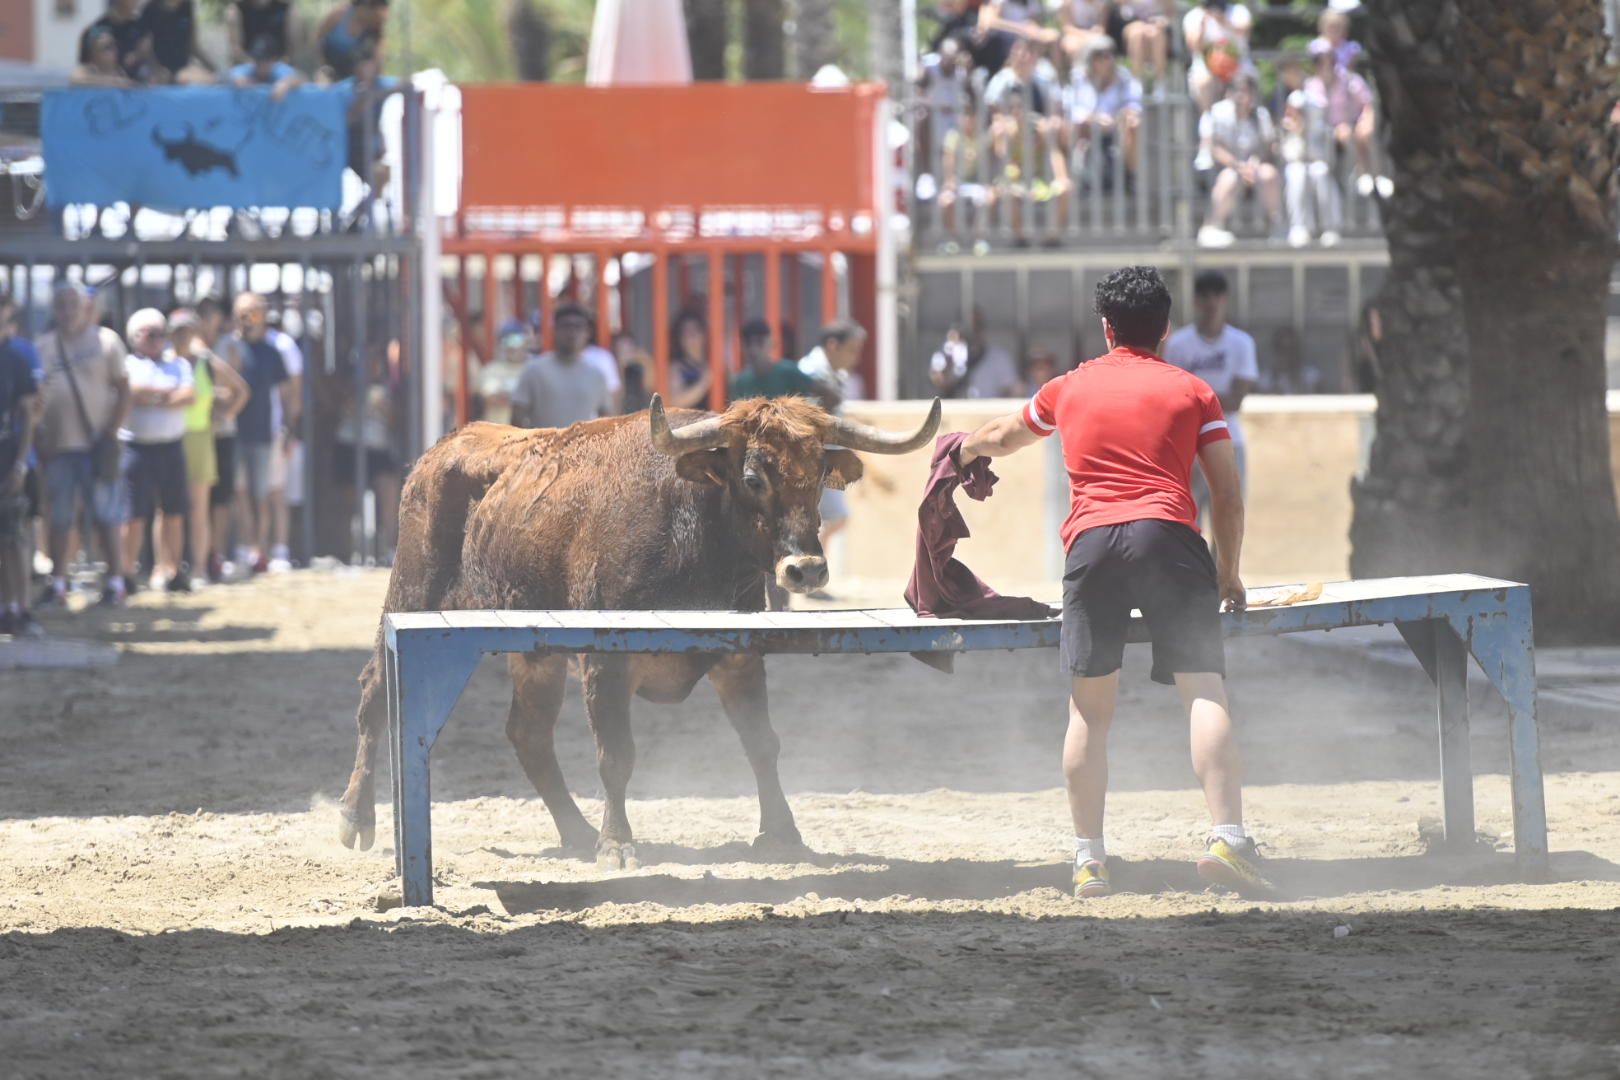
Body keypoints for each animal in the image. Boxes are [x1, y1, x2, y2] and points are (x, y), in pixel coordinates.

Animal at [336, 393, 946, 867]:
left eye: (819, 474)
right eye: (753, 477)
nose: (806, 569)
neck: (692, 527)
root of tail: (442, 450)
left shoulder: (740, 657)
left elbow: (762, 744)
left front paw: (783, 835)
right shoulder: (606, 662)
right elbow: (616, 756)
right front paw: (618, 845)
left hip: (535, 656)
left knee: (529, 735)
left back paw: (576, 833)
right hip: (411, 592)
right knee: (374, 691)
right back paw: (354, 817)